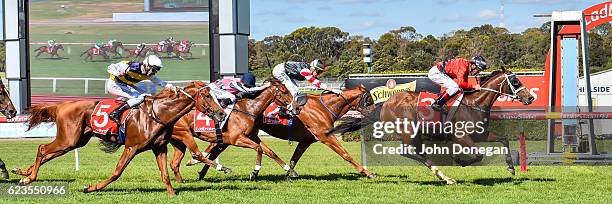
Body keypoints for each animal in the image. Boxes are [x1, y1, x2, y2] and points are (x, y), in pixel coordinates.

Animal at [13, 82, 225, 195]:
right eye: (207, 96)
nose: (221, 113)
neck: (159, 114)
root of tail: (60, 105)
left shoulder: (159, 148)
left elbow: (165, 174)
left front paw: (172, 194)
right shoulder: (131, 147)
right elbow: (117, 172)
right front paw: (91, 188)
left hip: (75, 141)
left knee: (47, 153)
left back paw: (23, 172)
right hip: (68, 140)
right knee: (42, 148)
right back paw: (28, 178)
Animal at [167, 79, 302, 182]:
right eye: (284, 91)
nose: (298, 108)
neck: (249, 110)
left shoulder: (252, 136)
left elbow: (270, 152)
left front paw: (290, 170)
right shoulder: (236, 139)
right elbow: (258, 148)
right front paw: (254, 172)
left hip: (178, 140)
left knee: (175, 162)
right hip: (184, 134)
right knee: (197, 154)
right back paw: (218, 167)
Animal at [185, 84, 378, 180]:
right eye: (369, 100)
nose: (374, 115)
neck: (324, 107)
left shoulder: (306, 140)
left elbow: (293, 158)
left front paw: (289, 172)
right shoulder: (325, 136)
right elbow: (346, 154)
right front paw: (368, 172)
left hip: (247, 134)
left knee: (217, 148)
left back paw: (200, 170)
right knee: (214, 148)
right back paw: (196, 162)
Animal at [328, 69, 532, 185]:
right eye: (515, 81)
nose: (530, 98)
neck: (474, 104)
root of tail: (385, 103)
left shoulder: (480, 134)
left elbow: (504, 139)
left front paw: (511, 168)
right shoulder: (460, 136)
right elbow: (479, 155)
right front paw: (459, 160)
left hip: (415, 133)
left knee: (416, 153)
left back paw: (443, 176)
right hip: (408, 131)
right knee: (407, 152)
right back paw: (444, 175)